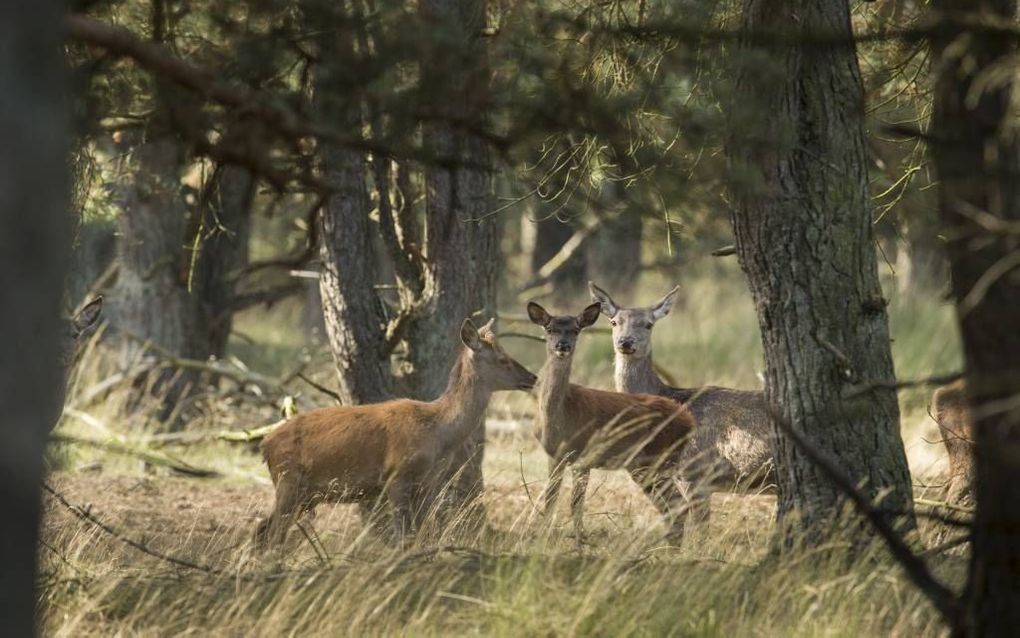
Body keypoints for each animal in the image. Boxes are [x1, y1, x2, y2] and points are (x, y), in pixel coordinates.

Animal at [255, 318, 538, 547]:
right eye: (502, 359)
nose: (533, 377)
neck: (438, 433)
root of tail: (265, 444)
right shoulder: (396, 474)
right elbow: (403, 535)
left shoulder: (428, 483)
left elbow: (422, 533)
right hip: (288, 480)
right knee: (270, 532)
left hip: (302, 492)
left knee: (263, 529)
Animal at [526, 300, 693, 538]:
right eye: (549, 329)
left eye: (576, 330)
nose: (563, 345)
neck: (561, 418)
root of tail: (687, 419)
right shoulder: (555, 455)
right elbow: (551, 500)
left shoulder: (584, 454)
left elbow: (575, 504)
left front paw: (580, 538)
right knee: (674, 506)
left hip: (655, 458)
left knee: (679, 505)